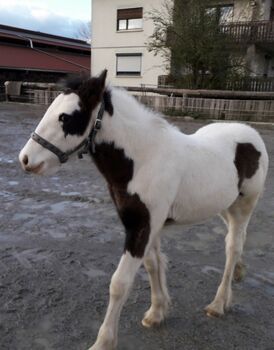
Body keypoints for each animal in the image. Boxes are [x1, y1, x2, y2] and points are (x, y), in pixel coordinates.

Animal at [18, 70, 268, 350]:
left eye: (66, 117)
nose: (26, 160)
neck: (144, 159)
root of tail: (251, 133)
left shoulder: (141, 226)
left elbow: (119, 282)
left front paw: (103, 341)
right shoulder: (149, 225)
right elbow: (153, 264)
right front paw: (157, 312)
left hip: (244, 206)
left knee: (232, 247)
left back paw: (218, 303)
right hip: (224, 207)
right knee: (235, 240)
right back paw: (239, 273)